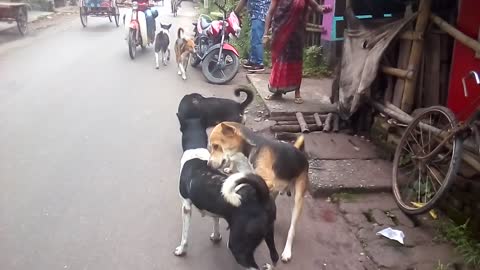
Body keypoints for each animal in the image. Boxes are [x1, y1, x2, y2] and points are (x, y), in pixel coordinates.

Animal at [174, 115, 278, 268]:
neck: (195, 152)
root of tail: (261, 196)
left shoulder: (186, 206)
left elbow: (184, 236)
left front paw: (181, 250)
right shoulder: (214, 211)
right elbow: (216, 221)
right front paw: (216, 237)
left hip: (238, 247)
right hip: (269, 233)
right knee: (275, 256)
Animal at [207, 123, 308, 262]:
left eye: (216, 146)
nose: (208, 164)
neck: (249, 149)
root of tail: (301, 154)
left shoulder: (266, 181)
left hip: (298, 198)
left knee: (292, 229)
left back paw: (287, 251)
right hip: (275, 192)